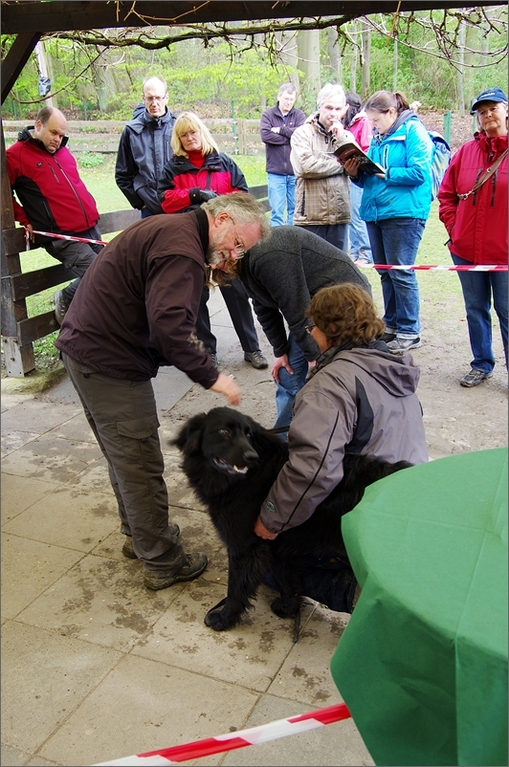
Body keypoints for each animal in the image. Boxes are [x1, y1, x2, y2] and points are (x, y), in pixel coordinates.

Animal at [171, 404, 408, 632]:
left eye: (248, 434)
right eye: (224, 431)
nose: (251, 457)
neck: (247, 477)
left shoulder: (245, 548)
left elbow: (236, 587)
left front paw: (224, 618)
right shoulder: (274, 544)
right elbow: (284, 577)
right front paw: (288, 607)